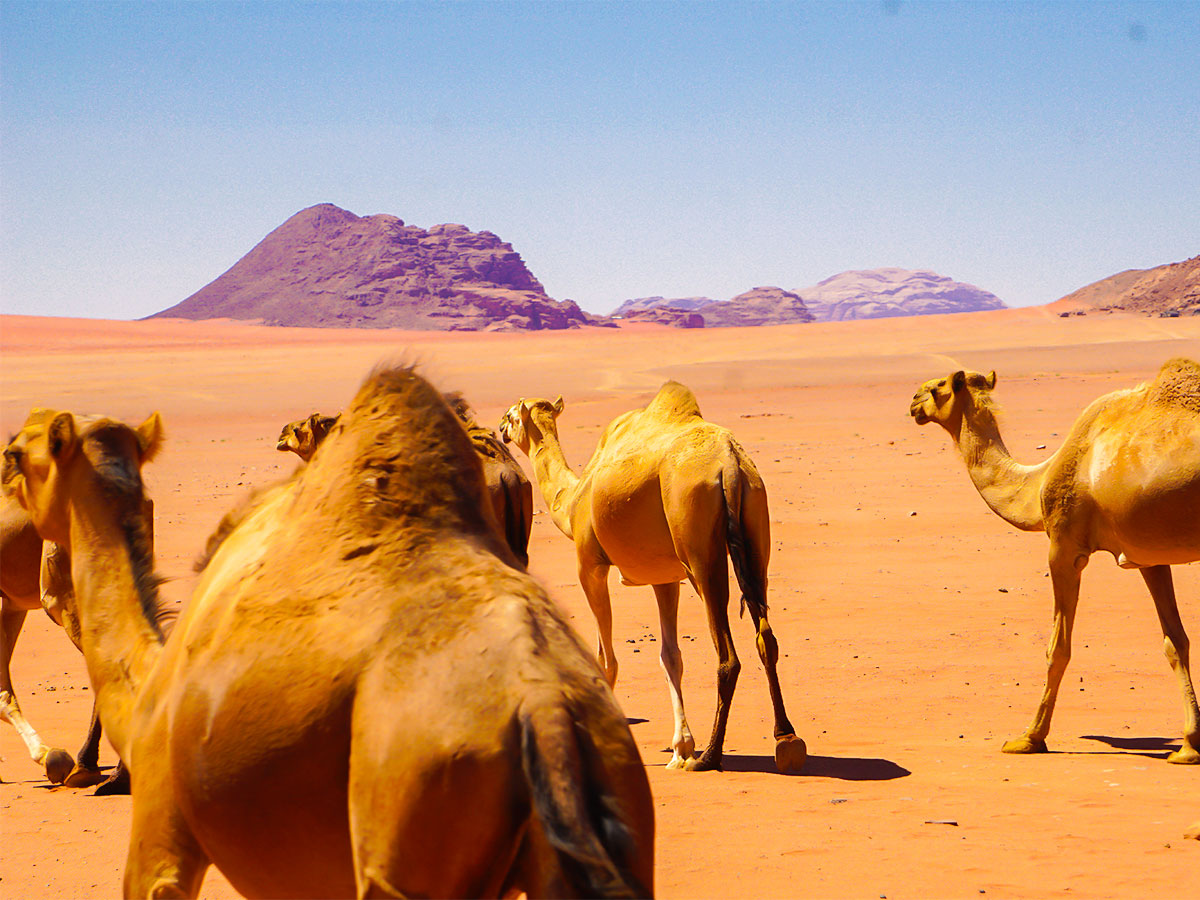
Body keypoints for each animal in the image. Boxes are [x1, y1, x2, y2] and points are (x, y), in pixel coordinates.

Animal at [2, 364, 657, 897]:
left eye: (17, 453)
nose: (4, 485)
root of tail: (546, 710)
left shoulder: (161, 834)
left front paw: (84, 769)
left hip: (402, 843)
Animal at [496, 381, 806, 777]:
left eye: (510, 415)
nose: (500, 429)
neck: (572, 501)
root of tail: (730, 465)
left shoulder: (589, 564)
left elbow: (606, 658)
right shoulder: (665, 578)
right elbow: (670, 657)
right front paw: (679, 749)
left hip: (698, 545)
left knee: (728, 655)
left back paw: (710, 756)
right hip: (755, 526)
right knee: (766, 637)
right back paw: (787, 741)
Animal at [907, 355, 1200, 763]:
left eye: (937, 388)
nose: (913, 402)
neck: (1038, 482)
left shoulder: (1064, 547)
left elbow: (1057, 648)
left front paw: (1029, 737)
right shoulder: (1148, 554)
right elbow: (1176, 641)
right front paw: (1190, 744)